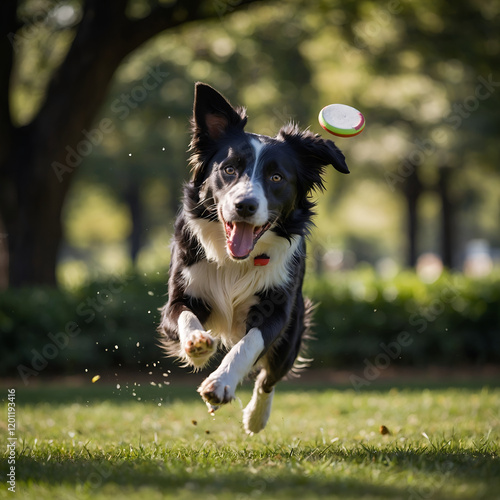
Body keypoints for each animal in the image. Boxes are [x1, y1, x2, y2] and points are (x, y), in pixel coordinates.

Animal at [158, 82, 350, 434]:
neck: (236, 261)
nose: (245, 205)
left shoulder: (277, 310)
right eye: (229, 169)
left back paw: (256, 417)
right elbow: (185, 317)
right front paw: (197, 344)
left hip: (293, 332)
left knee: (269, 378)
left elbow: (250, 344)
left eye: (277, 178)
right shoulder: (177, 299)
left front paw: (220, 384)